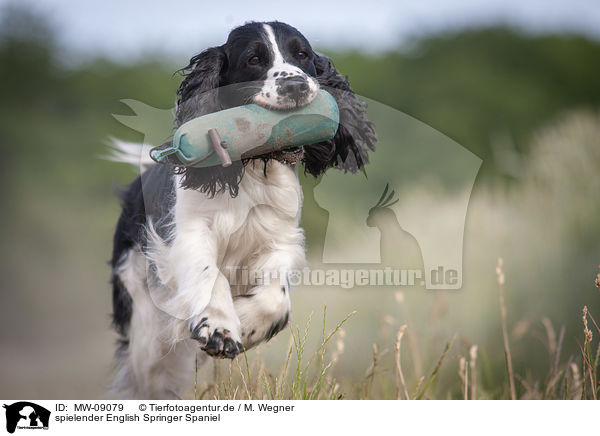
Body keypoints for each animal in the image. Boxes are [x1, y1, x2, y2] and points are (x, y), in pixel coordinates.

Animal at [108, 21, 376, 398]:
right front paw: (220, 328)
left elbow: (276, 298)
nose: (295, 85)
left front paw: (245, 323)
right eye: (253, 59)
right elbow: (210, 274)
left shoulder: (280, 238)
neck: (253, 169)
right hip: (143, 324)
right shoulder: (190, 233)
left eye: (303, 54)